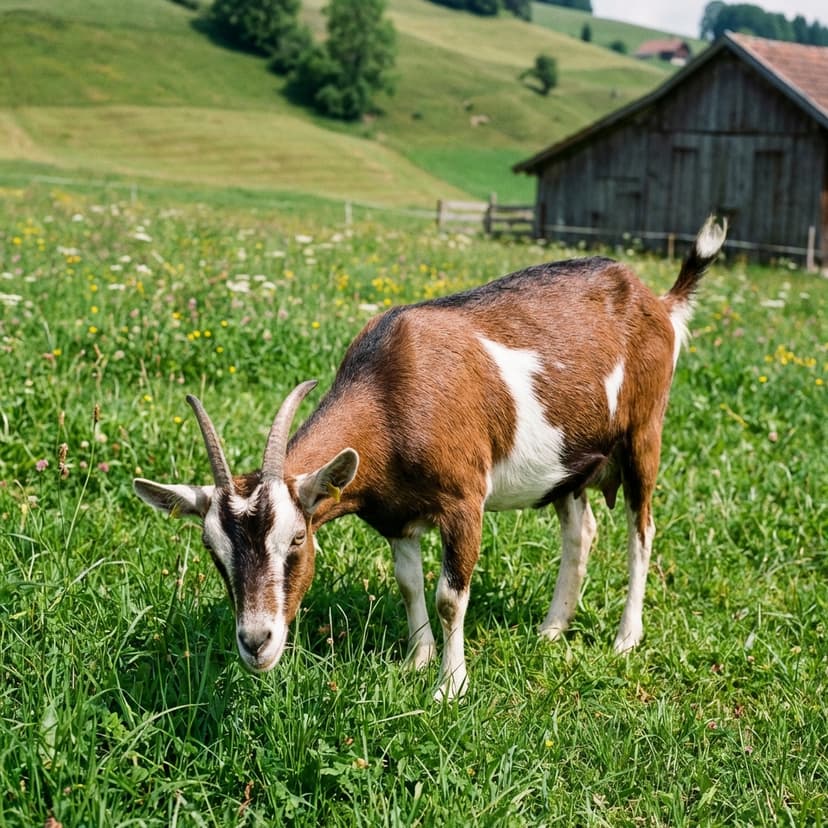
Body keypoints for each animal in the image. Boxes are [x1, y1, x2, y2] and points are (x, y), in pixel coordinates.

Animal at [134, 217, 726, 700]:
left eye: (297, 539)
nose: (257, 642)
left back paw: (626, 637)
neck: (390, 393)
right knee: (581, 532)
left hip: (643, 434)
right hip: (570, 463)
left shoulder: (464, 501)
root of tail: (660, 302)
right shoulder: (395, 514)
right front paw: (415, 663)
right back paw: (551, 629)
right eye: (213, 549)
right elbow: (408, 583)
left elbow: (448, 596)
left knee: (641, 531)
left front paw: (450, 685)